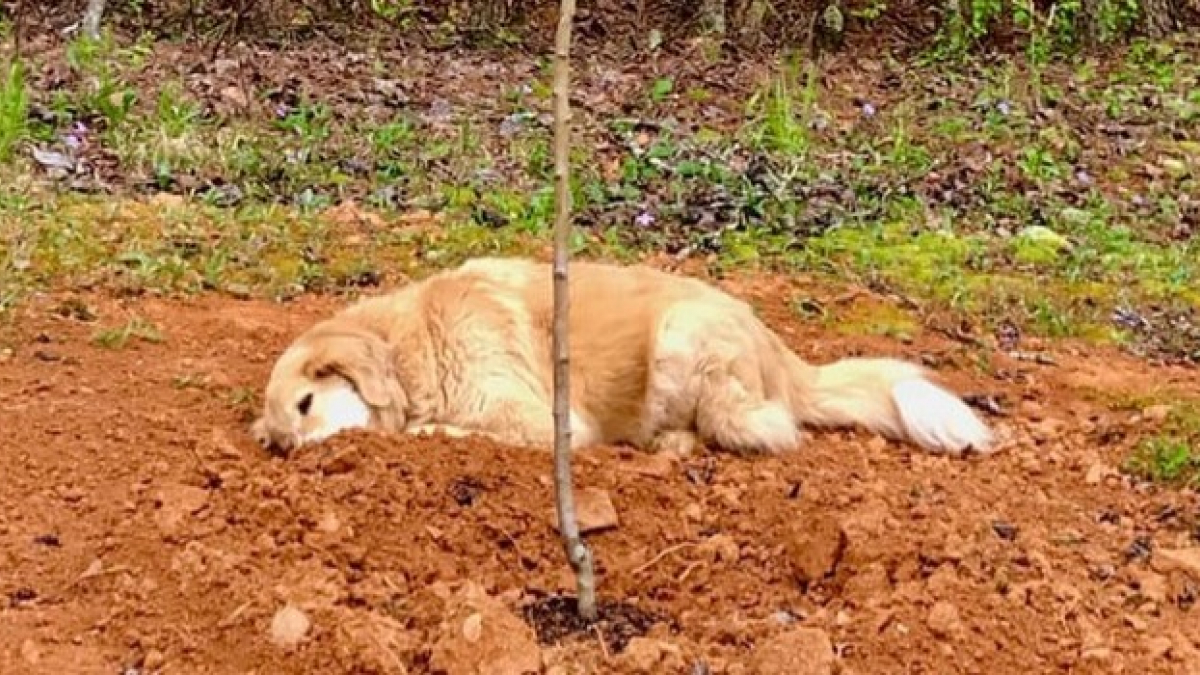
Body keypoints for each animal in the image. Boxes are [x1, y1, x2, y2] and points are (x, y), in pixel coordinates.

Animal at [250, 254, 993, 454]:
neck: (413, 346)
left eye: (309, 403)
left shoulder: (542, 422)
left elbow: (449, 430)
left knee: (765, 429)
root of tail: (778, 349)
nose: (304, 456)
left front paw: (429, 431)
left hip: (681, 340)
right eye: (282, 440)